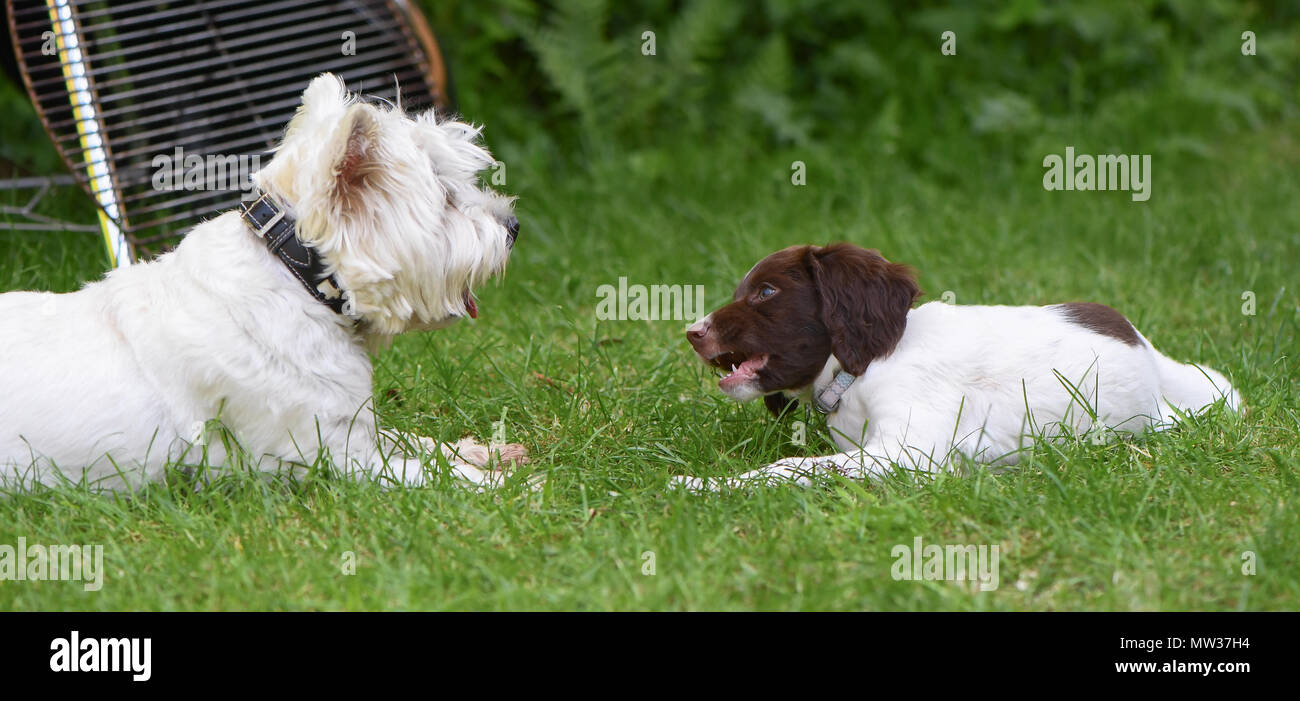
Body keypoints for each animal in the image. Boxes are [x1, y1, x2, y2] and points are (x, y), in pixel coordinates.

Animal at [2, 74, 527, 491]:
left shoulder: (352, 426)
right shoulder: (330, 458)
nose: (513, 227)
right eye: (447, 198)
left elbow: (417, 440)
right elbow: (428, 471)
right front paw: (511, 485)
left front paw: (485, 451)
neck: (299, 279)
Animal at [681, 244, 1237, 491]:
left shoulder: (909, 456)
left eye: (766, 292)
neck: (858, 369)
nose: (692, 331)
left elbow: (792, 466)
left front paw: (701, 485)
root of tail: (1145, 346)